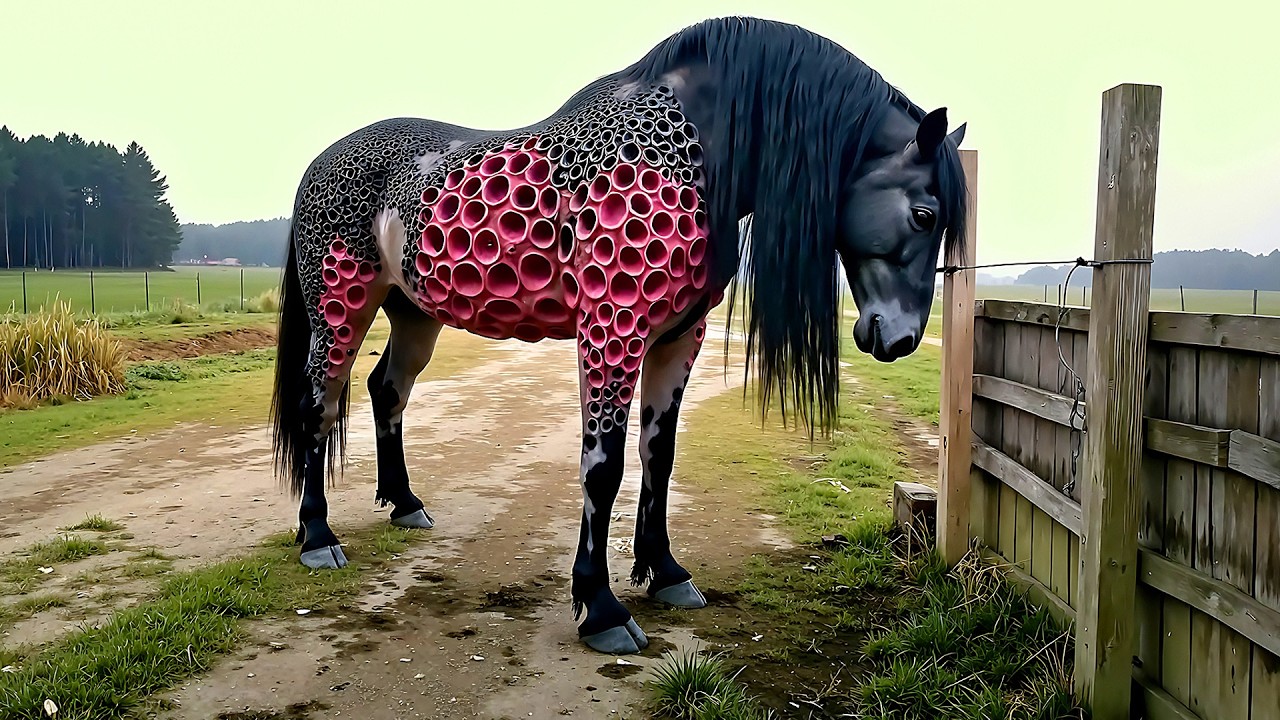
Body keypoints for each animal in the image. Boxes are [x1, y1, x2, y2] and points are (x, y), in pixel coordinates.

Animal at [270, 16, 967, 655]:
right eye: (924, 213)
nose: (899, 338)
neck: (697, 151)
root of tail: (316, 167)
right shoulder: (612, 328)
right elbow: (602, 466)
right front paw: (600, 609)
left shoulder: (678, 338)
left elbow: (659, 456)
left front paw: (667, 574)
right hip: (341, 306)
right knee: (317, 407)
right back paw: (318, 537)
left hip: (415, 315)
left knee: (386, 390)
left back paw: (406, 504)